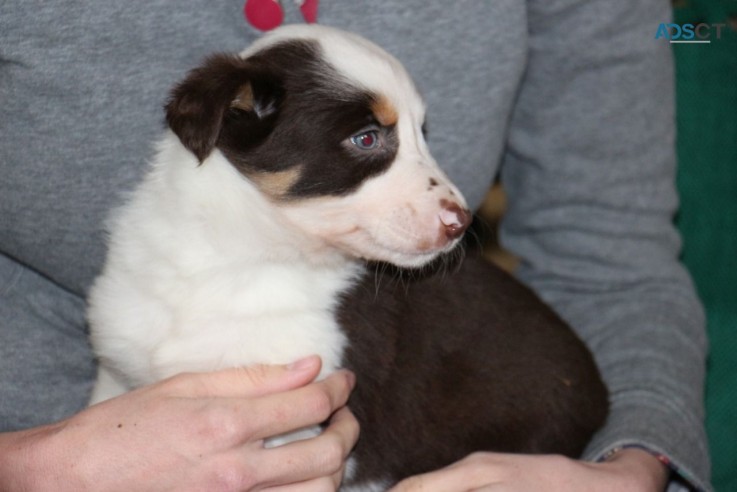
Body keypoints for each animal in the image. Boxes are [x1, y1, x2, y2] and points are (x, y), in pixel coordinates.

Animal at [86, 24, 608, 492]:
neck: (233, 259)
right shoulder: (116, 377)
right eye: (367, 138)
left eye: (422, 133)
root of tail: (598, 394)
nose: (460, 223)